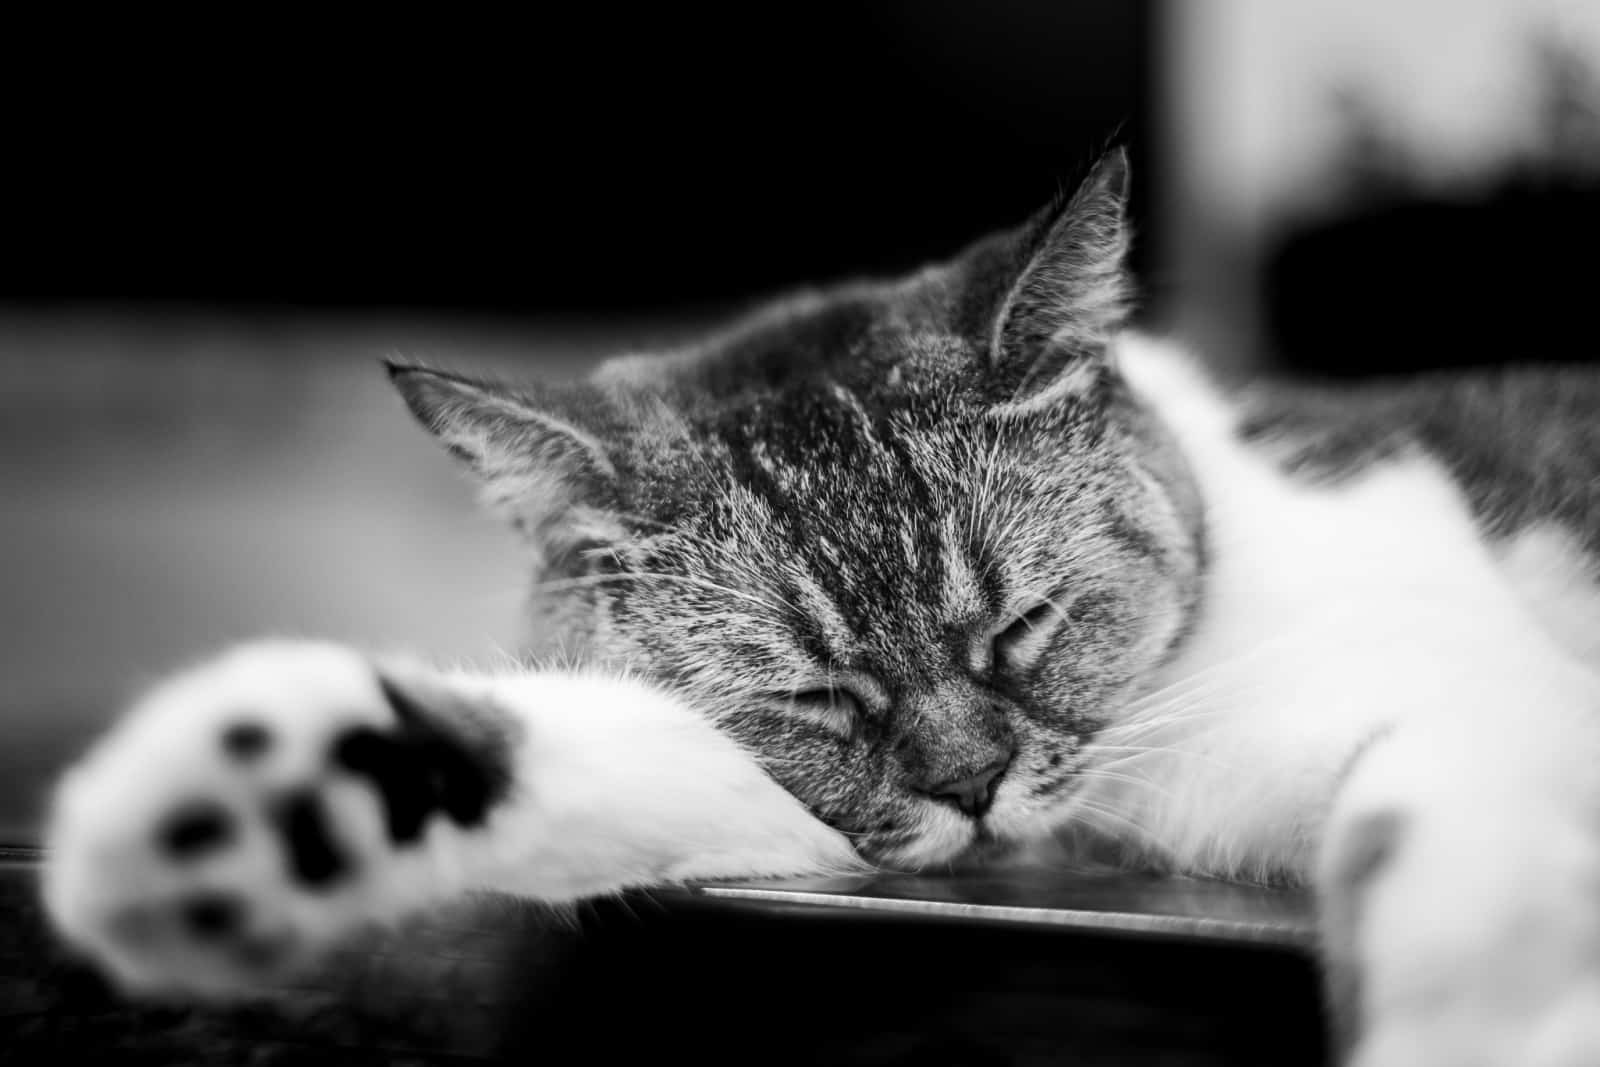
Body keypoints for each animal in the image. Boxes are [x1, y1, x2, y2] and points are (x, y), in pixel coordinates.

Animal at [37, 151, 1600, 1067]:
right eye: (813, 697)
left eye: (1021, 624)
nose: (972, 785)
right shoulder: (816, 823)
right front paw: (253, 807)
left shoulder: (1485, 707)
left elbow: (1473, 891)